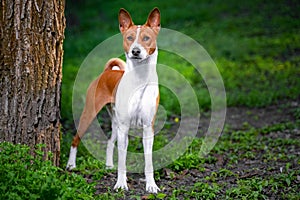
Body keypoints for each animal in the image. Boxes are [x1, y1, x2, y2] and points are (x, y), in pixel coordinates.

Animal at [66, 7, 161, 194]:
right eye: (129, 38)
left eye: (146, 38)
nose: (135, 51)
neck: (139, 79)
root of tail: (107, 72)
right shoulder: (125, 128)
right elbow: (122, 161)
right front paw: (121, 184)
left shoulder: (148, 129)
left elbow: (149, 162)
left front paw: (151, 185)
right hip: (90, 113)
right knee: (75, 139)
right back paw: (71, 165)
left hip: (116, 122)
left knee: (110, 142)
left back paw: (109, 165)